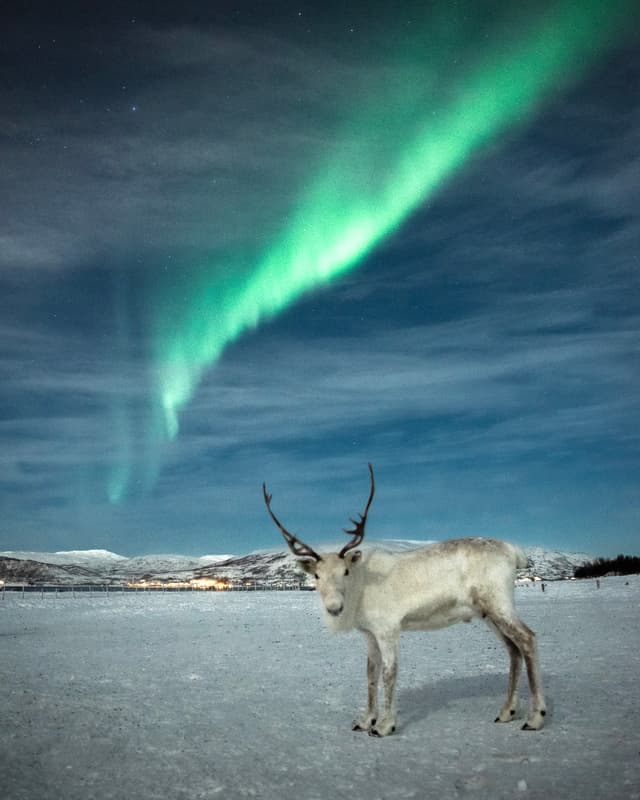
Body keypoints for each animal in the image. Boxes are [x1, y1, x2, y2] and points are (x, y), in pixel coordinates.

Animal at [262, 464, 547, 737]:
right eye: (317, 575)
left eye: (345, 571)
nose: (334, 607)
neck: (360, 587)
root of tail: (514, 552)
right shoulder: (369, 633)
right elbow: (370, 674)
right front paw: (365, 720)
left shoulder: (389, 629)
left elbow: (389, 674)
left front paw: (384, 725)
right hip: (486, 612)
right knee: (512, 649)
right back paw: (507, 711)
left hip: (499, 602)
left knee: (527, 638)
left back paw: (535, 717)